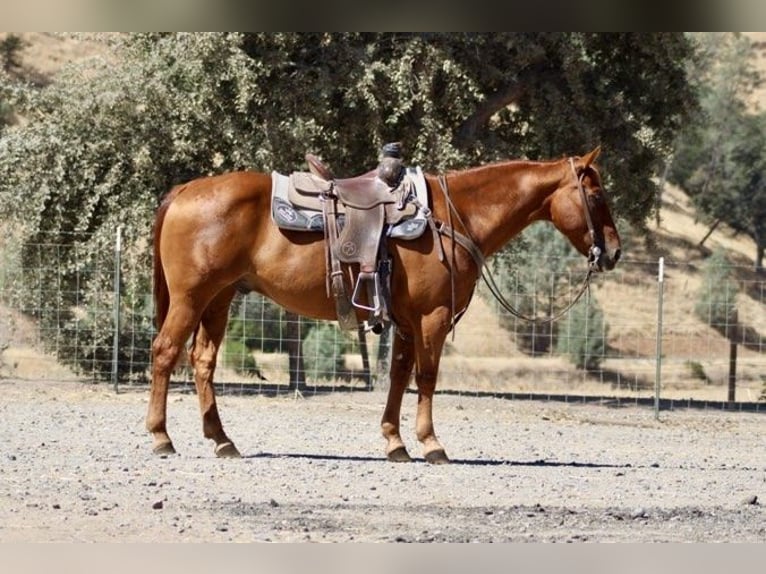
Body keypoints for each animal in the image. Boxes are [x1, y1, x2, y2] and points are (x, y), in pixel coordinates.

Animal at [147, 146, 621, 463]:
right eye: (597, 197)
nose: (613, 252)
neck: (454, 215)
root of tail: (185, 190)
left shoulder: (406, 322)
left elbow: (398, 376)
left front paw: (395, 442)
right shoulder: (432, 318)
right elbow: (426, 377)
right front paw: (431, 443)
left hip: (219, 299)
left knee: (202, 361)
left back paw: (222, 440)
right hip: (191, 298)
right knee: (165, 353)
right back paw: (161, 437)